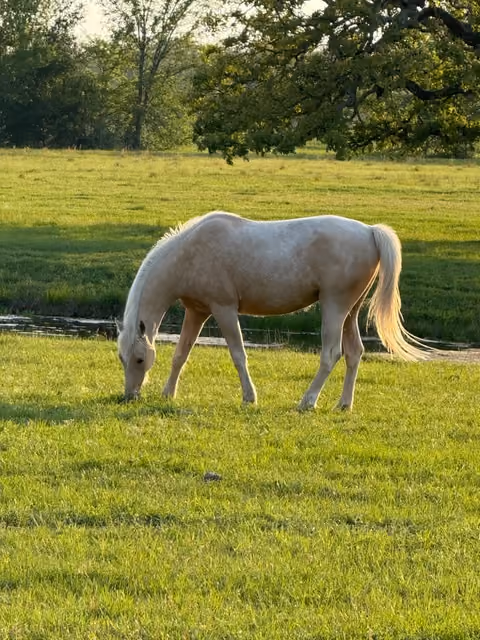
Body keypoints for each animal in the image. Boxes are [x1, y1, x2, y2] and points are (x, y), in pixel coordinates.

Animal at [117, 211, 426, 410]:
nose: (130, 395)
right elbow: (180, 355)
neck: (190, 253)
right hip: (350, 312)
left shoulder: (224, 309)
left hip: (334, 308)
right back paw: (343, 404)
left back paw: (307, 401)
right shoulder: (197, 312)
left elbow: (238, 355)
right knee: (354, 353)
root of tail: (369, 231)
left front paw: (249, 397)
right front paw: (168, 393)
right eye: (122, 358)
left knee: (331, 354)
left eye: (140, 359)